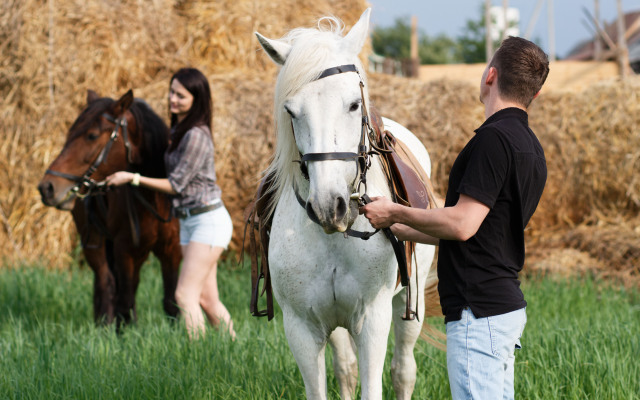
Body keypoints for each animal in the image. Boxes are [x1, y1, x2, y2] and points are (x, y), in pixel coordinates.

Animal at [38, 89, 180, 330]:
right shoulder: (125, 250)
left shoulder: (171, 251)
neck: (155, 196)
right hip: (94, 244)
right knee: (107, 284)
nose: (47, 187)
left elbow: (172, 303)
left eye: (92, 135)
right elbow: (125, 303)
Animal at [258, 7, 438, 398]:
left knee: (403, 370)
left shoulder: (372, 320)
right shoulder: (302, 327)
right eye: (291, 111)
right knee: (345, 367)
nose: (329, 206)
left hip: (410, 301)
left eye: (354, 104)